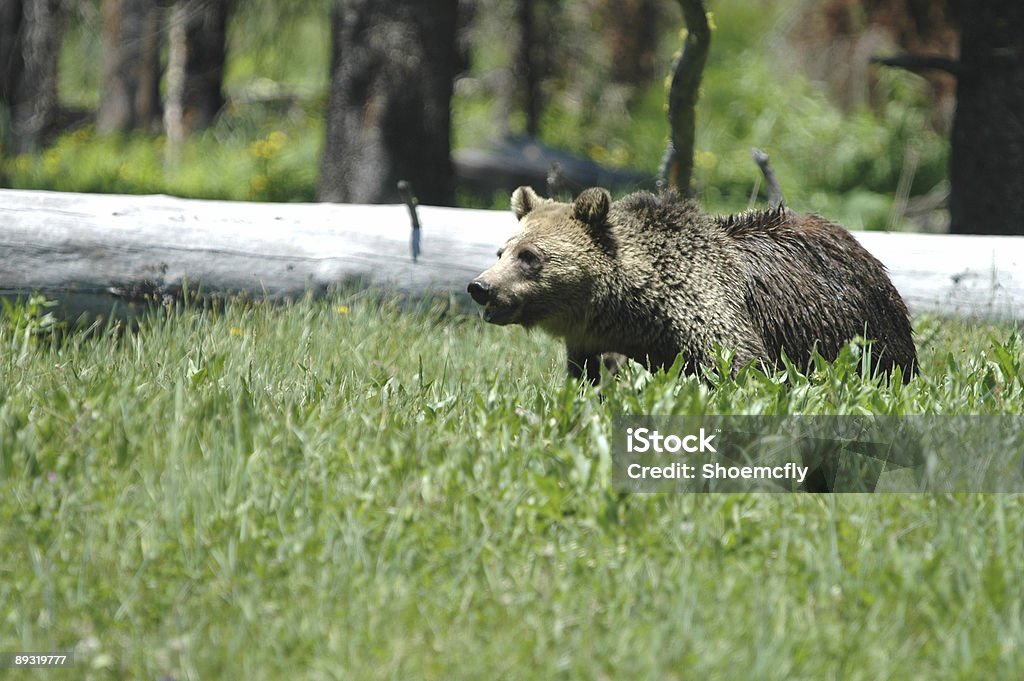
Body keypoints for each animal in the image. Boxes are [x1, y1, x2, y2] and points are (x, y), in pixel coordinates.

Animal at [468, 186, 917, 382]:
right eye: (502, 251)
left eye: (530, 256)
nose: (480, 287)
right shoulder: (590, 343)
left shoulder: (712, 313)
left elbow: (741, 367)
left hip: (862, 327)